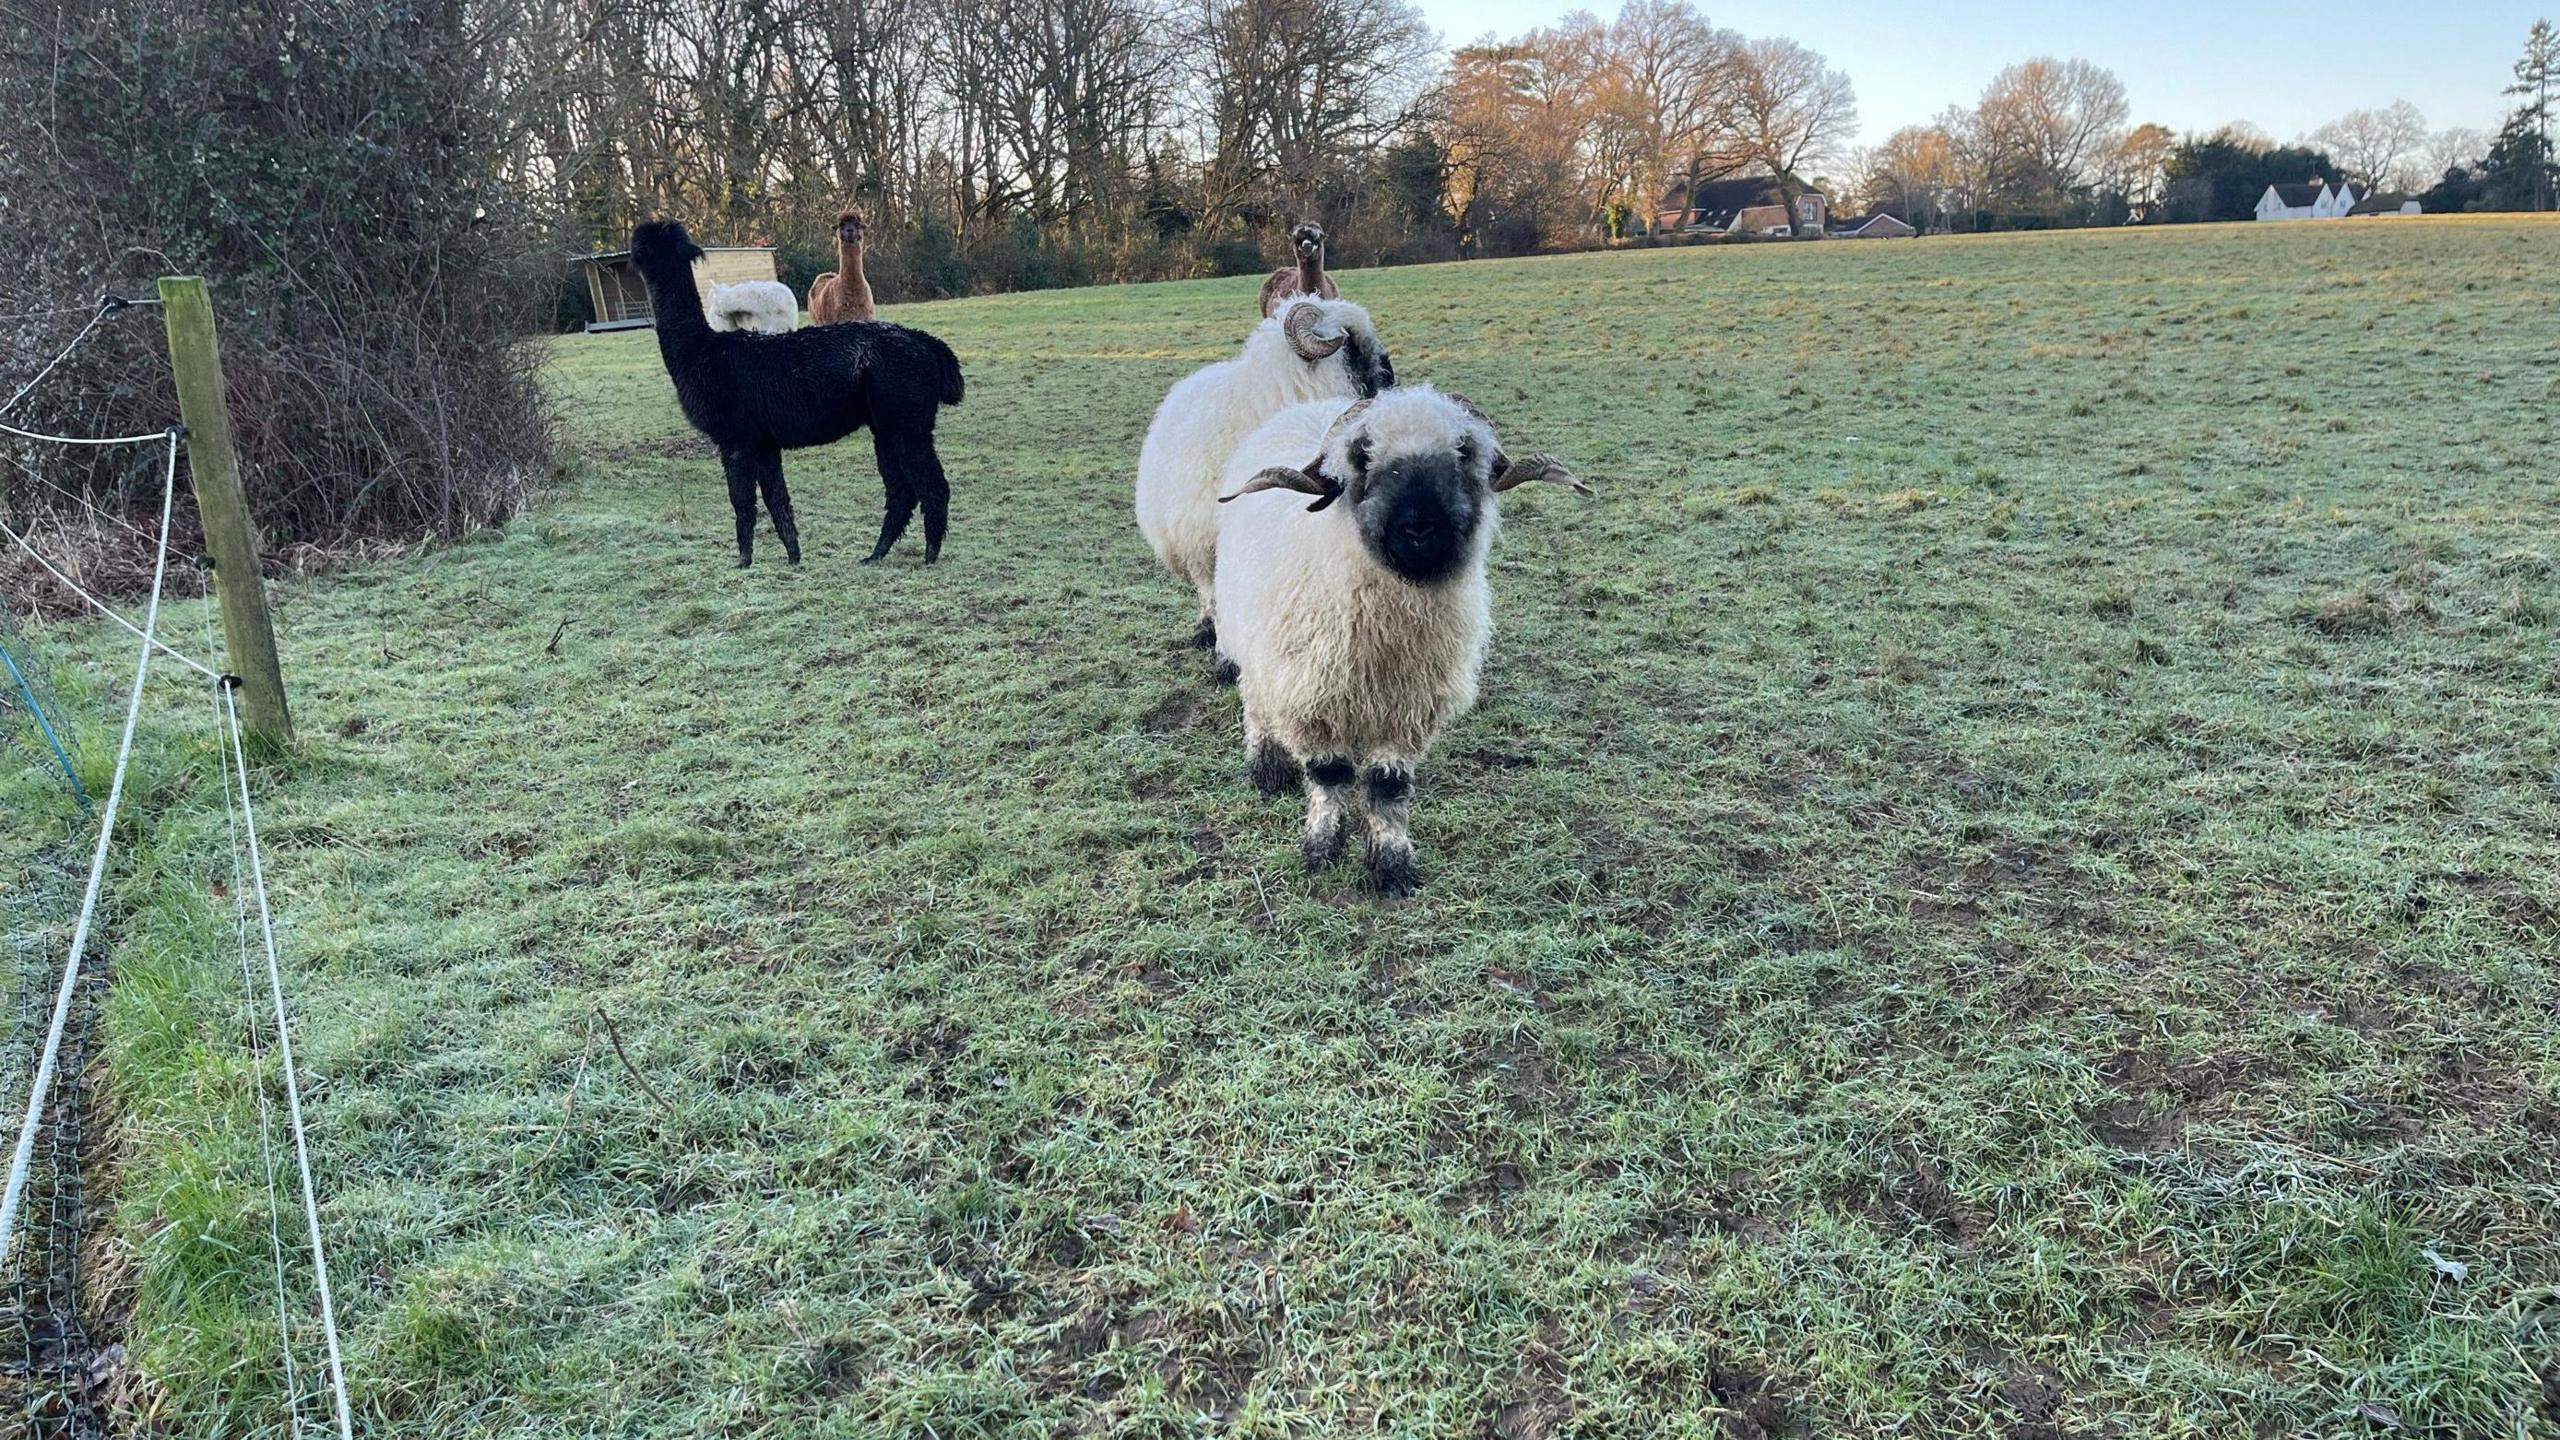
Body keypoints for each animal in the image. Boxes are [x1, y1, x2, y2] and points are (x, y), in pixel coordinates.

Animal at [1208, 386, 1587, 891]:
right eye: (1362, 455)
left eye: (1465, 452)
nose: (1420, 529)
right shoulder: (1311, 697)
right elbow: (1328, 776)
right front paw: (1321, 851)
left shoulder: (1408, 708)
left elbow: (1387, 786)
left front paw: (1391, 866)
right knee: (1255, 699)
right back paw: (1267, 768)